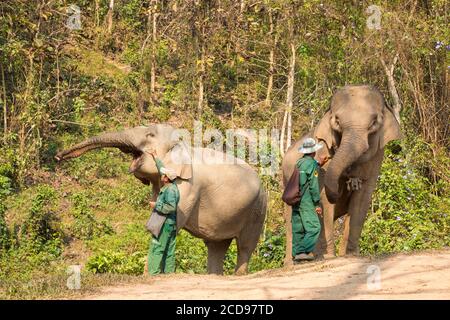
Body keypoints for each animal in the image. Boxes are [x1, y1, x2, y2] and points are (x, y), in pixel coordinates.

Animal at [55, 124, 268, 274]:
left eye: (150, 135)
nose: (58, 156)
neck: (182, 145)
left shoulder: (188, 186)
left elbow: (167, 218)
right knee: (217, 246)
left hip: (257, 210)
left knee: (245, 246)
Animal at [282, 85, 400, 262]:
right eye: (337, 121)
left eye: (374, 122)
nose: (327, 157)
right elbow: (323, 198)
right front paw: (329, 256)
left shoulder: (376, 158)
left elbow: (362, 198)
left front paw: (350, 254)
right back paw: (299, 261)